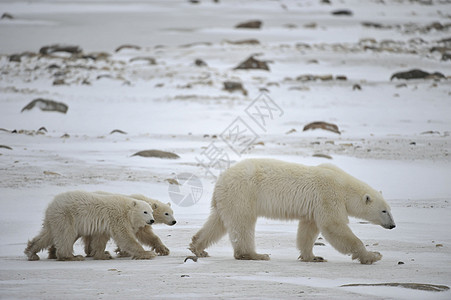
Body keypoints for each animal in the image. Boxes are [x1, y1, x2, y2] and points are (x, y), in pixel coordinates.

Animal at [190, 158, 396, 264]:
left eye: (389, 209)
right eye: (384, 211)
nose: (393, 225)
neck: (343, 185)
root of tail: (220, 180)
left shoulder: (315, 206)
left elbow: (308, 229)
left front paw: (313, 256)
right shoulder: (328, 196)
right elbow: (334, 226)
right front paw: (372, 256)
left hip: (227, 200)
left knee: (218, 222)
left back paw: (198, 247)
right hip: (243, 194)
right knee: (243, 224)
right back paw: (256, 254)